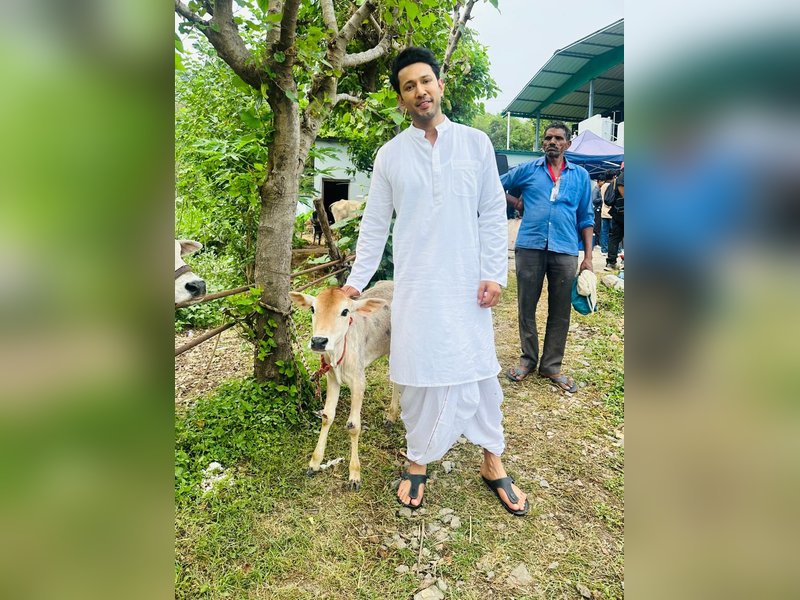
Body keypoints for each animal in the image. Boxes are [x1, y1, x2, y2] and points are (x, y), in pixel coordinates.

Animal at [289, 281, 398, 490]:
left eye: (345, 311)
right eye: (313, 309)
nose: (319, 341)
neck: (338, 353)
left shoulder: (359, 381)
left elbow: (353, 425)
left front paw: (354, 474)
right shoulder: (331, 378)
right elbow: (326, 416)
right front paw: (315, 463)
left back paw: (391, 415)